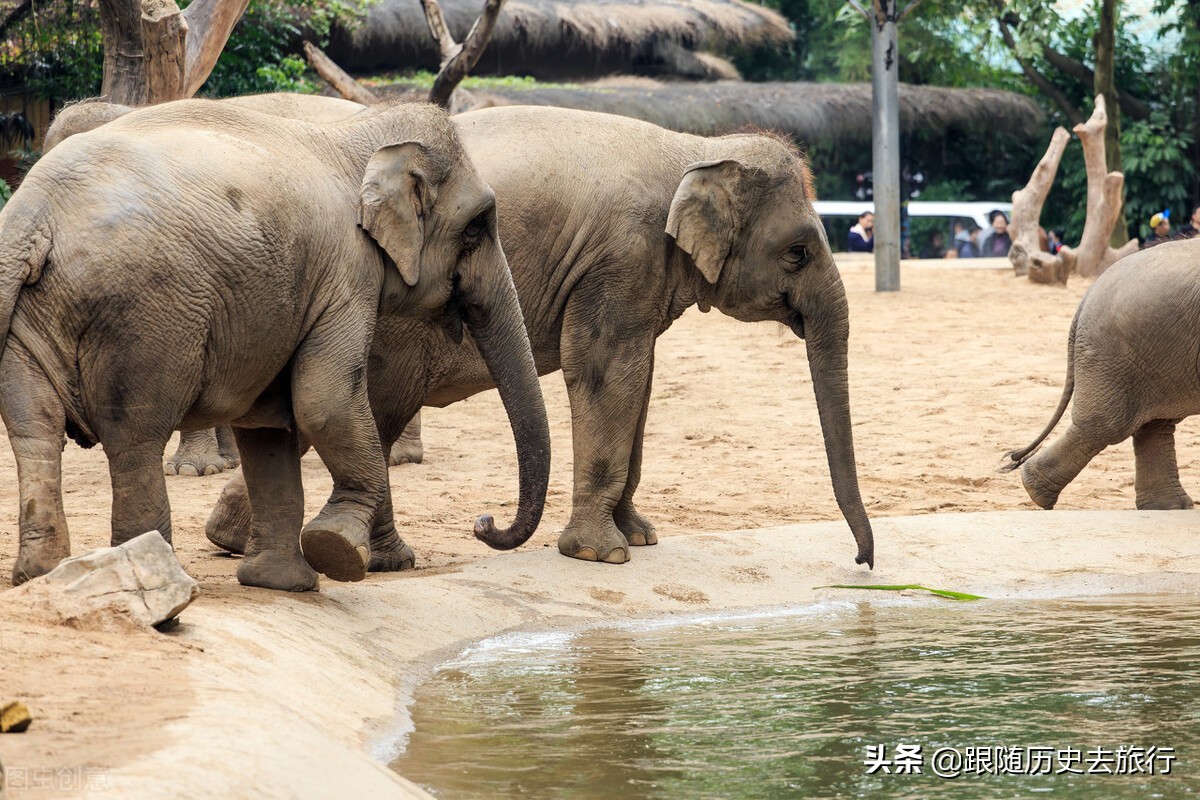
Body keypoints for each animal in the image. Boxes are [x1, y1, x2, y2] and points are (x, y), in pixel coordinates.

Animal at [0, 98, 552, 587]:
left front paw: (280, 583)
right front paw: (338, 552)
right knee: (135, 436)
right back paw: (154, 576)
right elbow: (324, 401)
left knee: (34, 429)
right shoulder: (346, 272)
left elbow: (268, 424)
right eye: (476, 228)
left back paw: (40, 574)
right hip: (146, 316)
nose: (484, 522)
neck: (356, 137)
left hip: (30, 320)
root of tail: (34, 215)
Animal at [998, 237, 1200, 510]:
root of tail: (1088, 295)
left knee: (1155, 424)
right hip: (1123, 352)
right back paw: (1037, 493)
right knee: (1105, 426)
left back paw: (1170, 508)